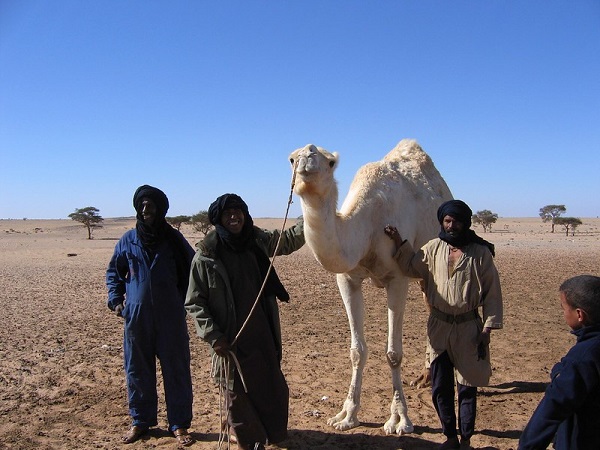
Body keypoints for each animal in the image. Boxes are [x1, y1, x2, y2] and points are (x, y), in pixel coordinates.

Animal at [288, 139, 452, 434]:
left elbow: (394, 354)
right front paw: (345, 416)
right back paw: (424, 377)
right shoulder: (347, 279)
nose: (307, 155)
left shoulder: (398, 278)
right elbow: (357, 351)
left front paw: (399, 420)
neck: (367, 225)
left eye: (331, 162)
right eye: (291, 159)